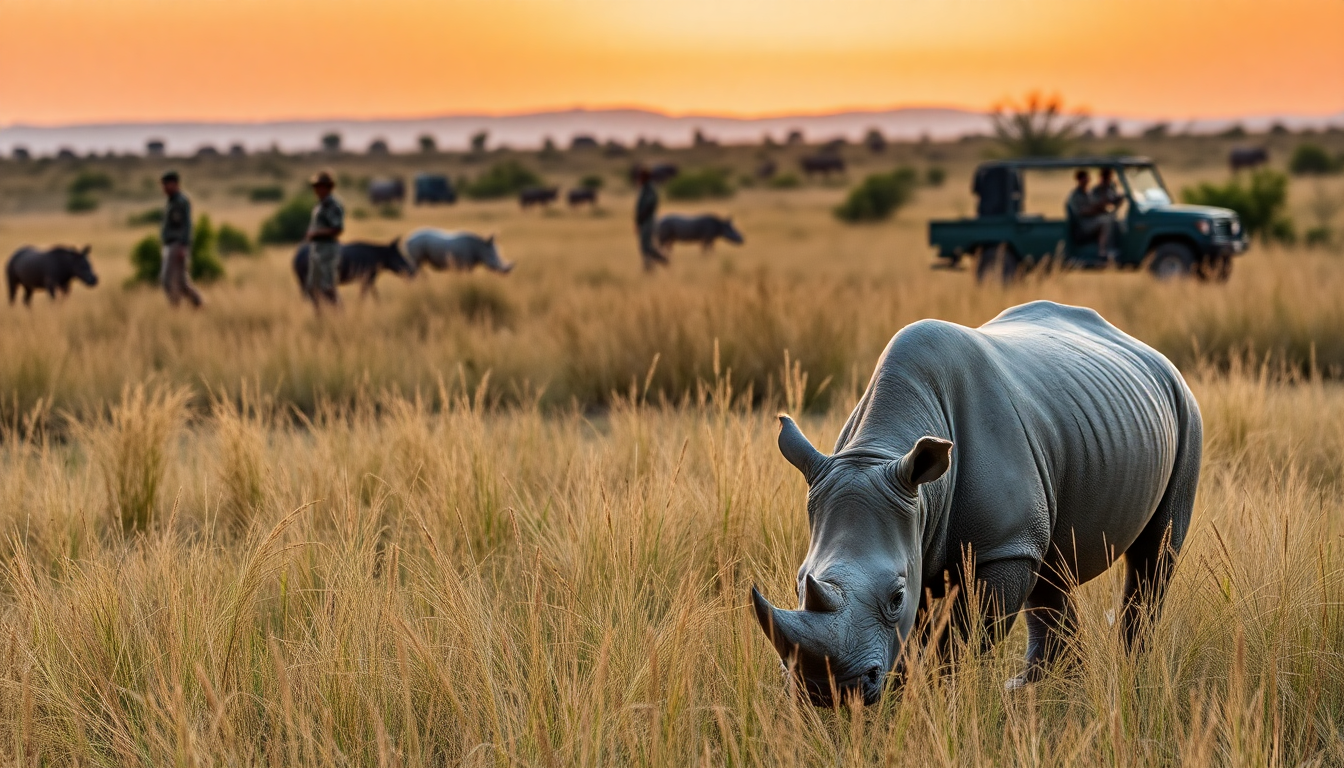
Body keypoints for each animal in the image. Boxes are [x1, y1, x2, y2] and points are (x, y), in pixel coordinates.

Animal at [752, 301, 1202, 705]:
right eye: (798, 582)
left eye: (896, 596)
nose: (826, 692)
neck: (881, 452)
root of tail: (1151, 354)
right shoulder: (928, 529)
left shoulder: (1002, 547)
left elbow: (956, 638)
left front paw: (926, 698)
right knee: (1051, 568)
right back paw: (1038, 688)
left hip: (1186, 411)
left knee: (1154, 552)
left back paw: (1128, 670)